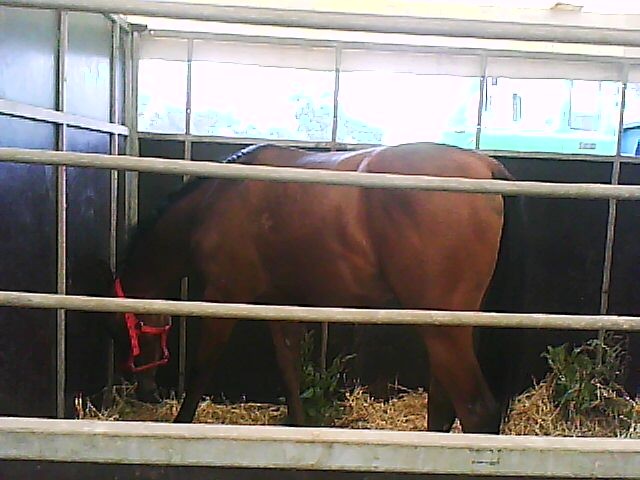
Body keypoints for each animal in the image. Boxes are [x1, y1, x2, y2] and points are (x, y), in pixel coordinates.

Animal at [108, 142, 526, 433]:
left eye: (125, 327)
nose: (146, 389)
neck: (216, 203)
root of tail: (484, 166)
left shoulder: (224, 299)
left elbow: (201, 370)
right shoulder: (280, 307)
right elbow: (290, 371)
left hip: (443, 329)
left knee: (475, 411)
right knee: (444, 404)